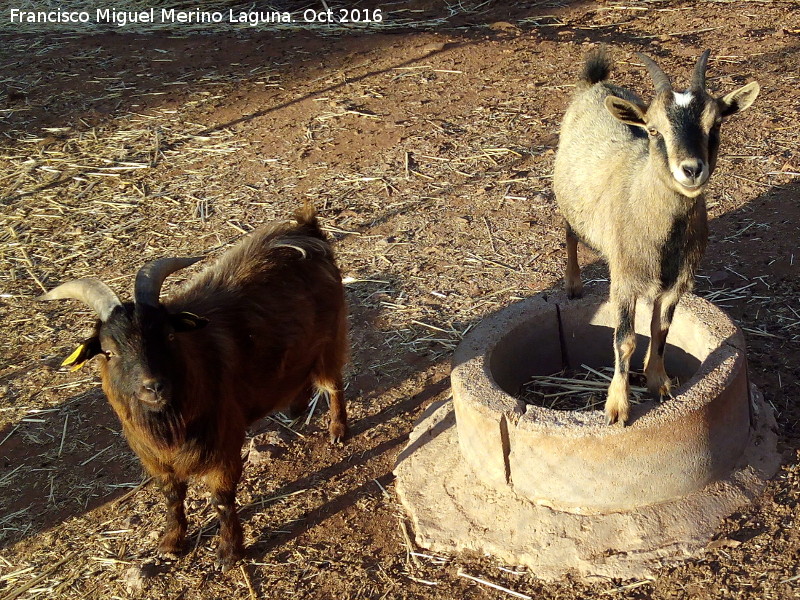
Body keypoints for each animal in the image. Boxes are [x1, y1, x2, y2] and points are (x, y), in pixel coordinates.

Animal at [39, 205, 346, 568]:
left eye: (170, 336)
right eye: (109, 352)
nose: (154, 387)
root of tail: (306, 229)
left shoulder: (224, 447)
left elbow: (222, 499)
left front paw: (229, 553)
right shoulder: (158, 461)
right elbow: (172, 497)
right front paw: (171, 543)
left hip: (330, 340)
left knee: (334, 384)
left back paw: (338, 431)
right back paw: (294, 410)